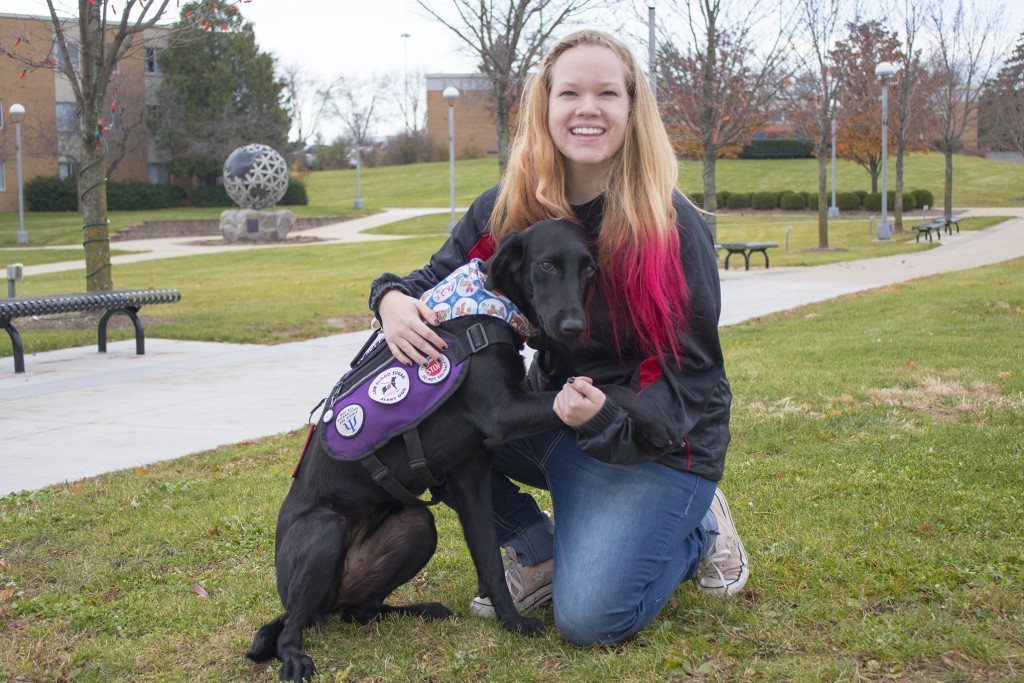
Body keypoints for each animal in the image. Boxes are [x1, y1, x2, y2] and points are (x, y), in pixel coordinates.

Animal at [246, 222, 598, 679]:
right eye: (547, 265)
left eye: (588, 268)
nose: (575, 327)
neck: (486, 305)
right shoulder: (503, 414)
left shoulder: (470, 476)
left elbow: (488, 559)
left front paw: (509, 621)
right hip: (323, 535)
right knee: (292, 628)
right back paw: (294, 658)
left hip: (416, 527)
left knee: (359, 611)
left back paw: (420, 610)